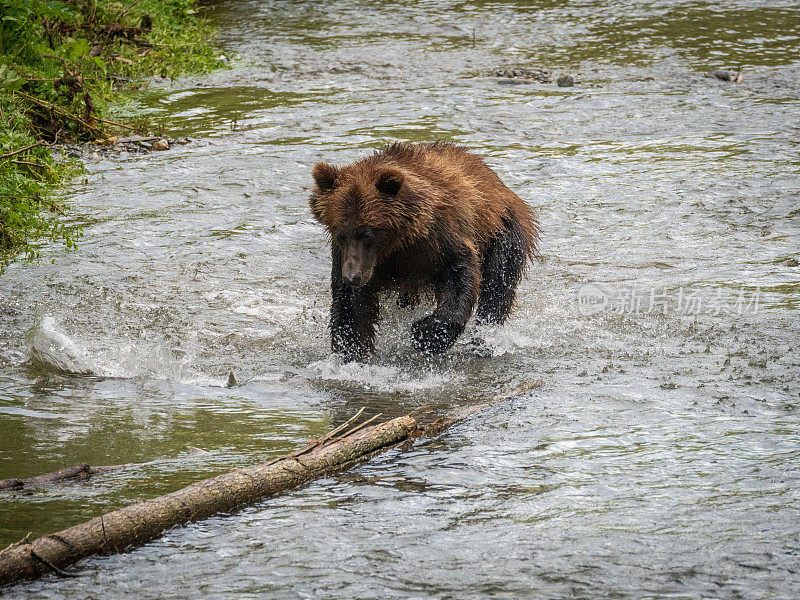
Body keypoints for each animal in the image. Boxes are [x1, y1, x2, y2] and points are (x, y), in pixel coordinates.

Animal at [306, 142, 536, 360]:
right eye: (341, 233)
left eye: (368, 233)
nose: (352, 277)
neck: (400, 243)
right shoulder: (356, 258)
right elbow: (352, 307)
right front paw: (352, 351)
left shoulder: (443, 238)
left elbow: (461, 278)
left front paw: (426, 334)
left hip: (503, 230)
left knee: (498, 283)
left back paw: (484, 339)